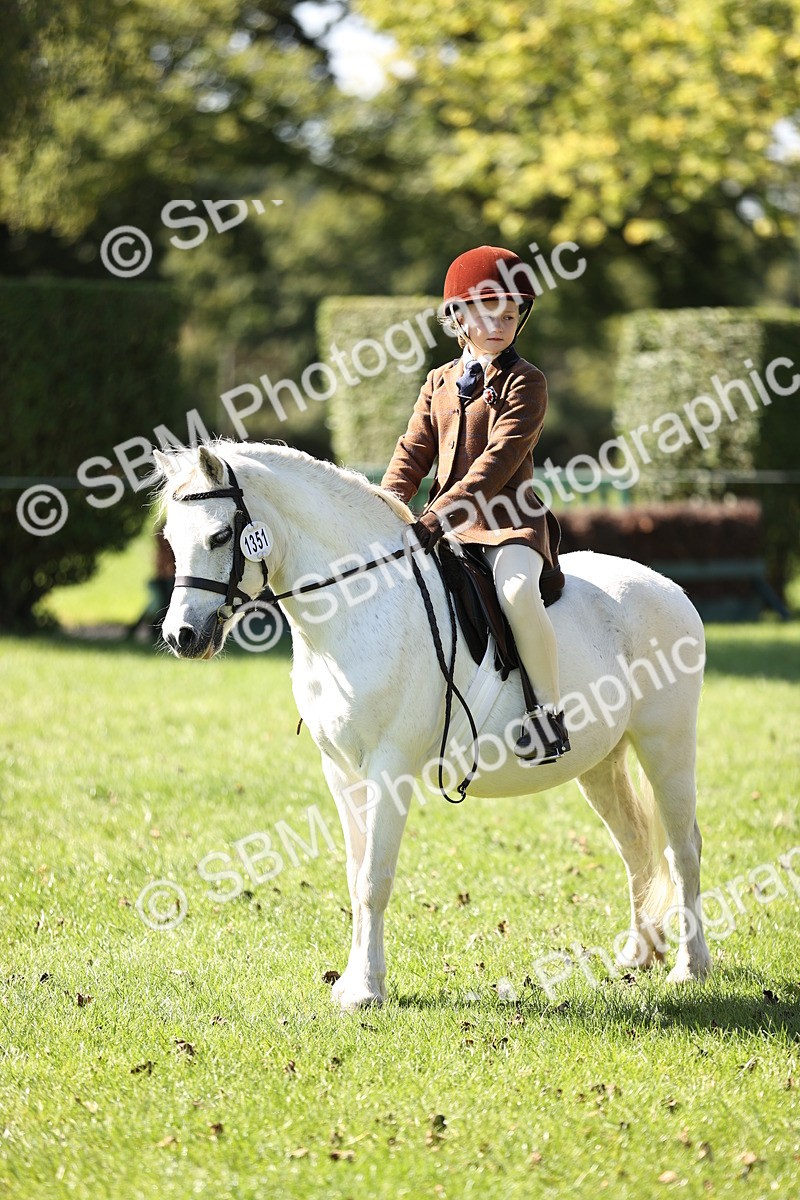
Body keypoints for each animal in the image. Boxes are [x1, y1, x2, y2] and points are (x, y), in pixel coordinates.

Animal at [155, 440, 712, 1011]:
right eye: (170, 539)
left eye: (220, 536)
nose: (181, 636)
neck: (357, 606)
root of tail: (668, 586)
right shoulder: (342, 771)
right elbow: (355, 875)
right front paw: (355, 982)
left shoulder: (389, 766)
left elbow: (374, 879)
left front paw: (365, 990)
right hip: (600, 763)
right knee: (635, 846)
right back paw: (638, 955)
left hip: (666, 746)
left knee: (682, 850)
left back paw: (690, 968)